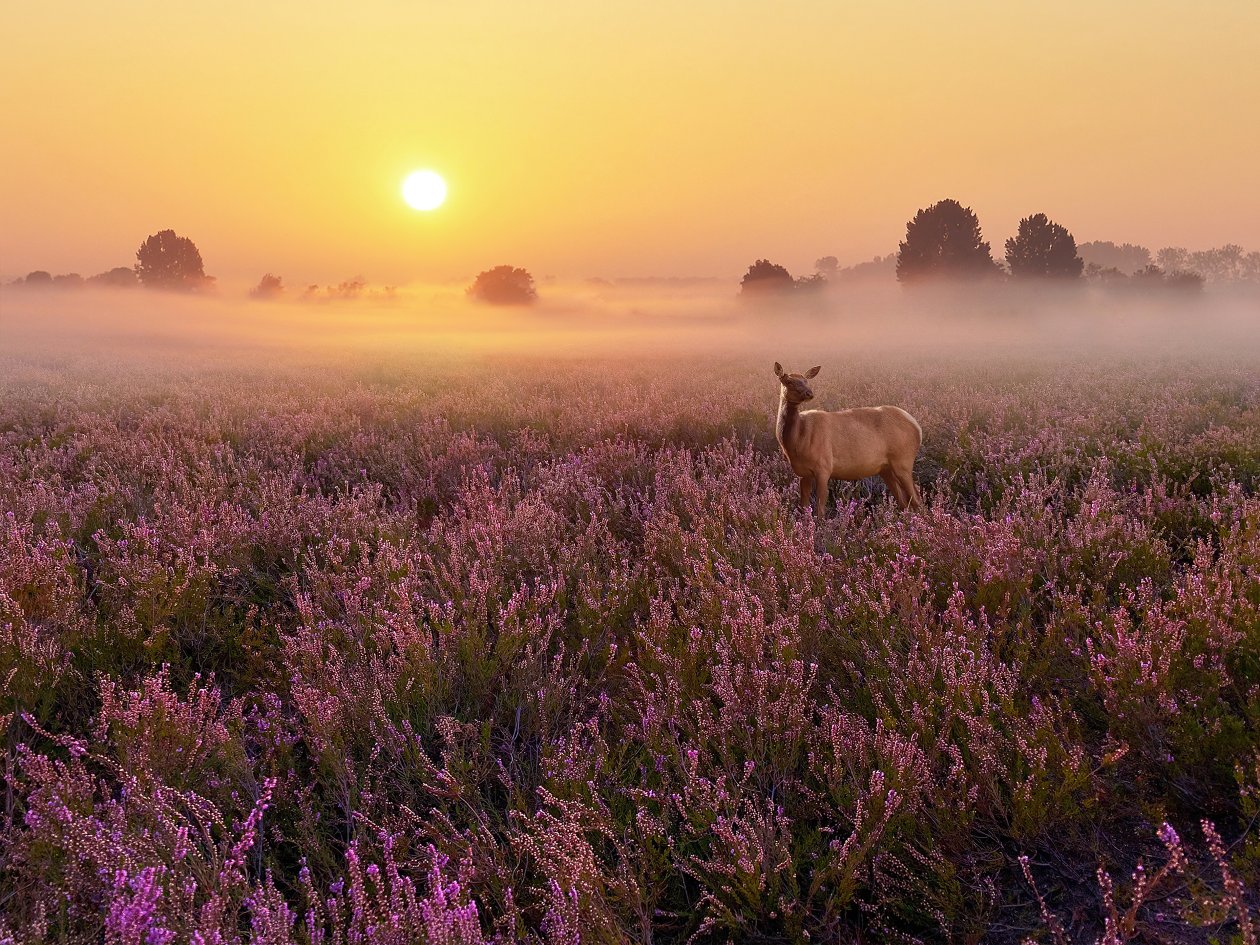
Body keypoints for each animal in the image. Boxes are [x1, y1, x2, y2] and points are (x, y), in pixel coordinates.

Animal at [774, 362, 923, 515]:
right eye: (788, 381)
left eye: (806, 381)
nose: (809, 393)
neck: (797, 442)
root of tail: (917, 427)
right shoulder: (803, 473)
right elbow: (804, 507)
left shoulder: (824, 466)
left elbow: (820, 509)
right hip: (886, 468)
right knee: (904, 501)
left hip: (903, 459)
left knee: (917, 499)